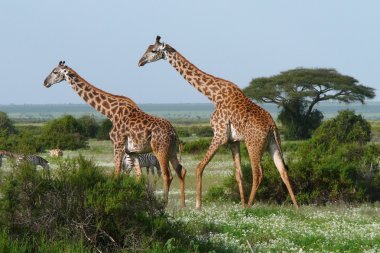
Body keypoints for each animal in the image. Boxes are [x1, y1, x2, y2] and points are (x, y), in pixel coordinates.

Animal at [43, 61, 186, 208]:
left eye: (55, 71)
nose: (45, 82)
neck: (110, 113)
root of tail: (174, 132)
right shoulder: (132, 151)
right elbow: (139, 177)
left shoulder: (118, 144)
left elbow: (116, 173)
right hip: (172, 151)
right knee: (181, 171)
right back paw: (182, 206)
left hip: (160, 150)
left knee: (167, 175)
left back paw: (164, 205)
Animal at [138, 35, 298, 210]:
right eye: (147, 48)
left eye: (154, 50)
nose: (140, 61)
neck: (214, 95)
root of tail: (272, 125)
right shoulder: (233, 141)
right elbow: (239, 174)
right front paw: (241, 206)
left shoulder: (219, 135)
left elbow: (199, 167)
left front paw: (198, 206)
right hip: (272, 144)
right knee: (283, 170)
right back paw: (296, 208)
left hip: (254, 144)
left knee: (258, 173)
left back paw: (251, 206)